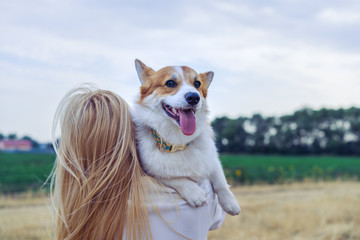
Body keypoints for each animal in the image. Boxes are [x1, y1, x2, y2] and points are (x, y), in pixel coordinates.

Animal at [134, 58, 240, 216]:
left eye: (197, 84)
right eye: (170, 83)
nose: (194, 97)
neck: (179, 141)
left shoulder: (211, 158)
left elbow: (220, 178)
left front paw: (230, 202)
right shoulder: (152, 174)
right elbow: (174, 179)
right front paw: (195, 192)